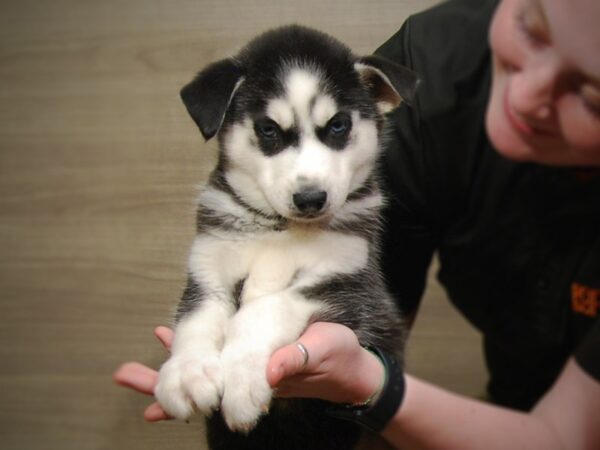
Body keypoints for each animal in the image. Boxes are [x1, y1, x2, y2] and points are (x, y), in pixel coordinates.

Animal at [155, 25, 418, 450]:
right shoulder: (208, 269)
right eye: (268, 130)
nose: (311, 198)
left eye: (338, 125)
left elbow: (265, 309)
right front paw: (186, 373)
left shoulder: (350, 287)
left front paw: (242, 381)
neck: (281, 229)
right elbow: (196, 320)